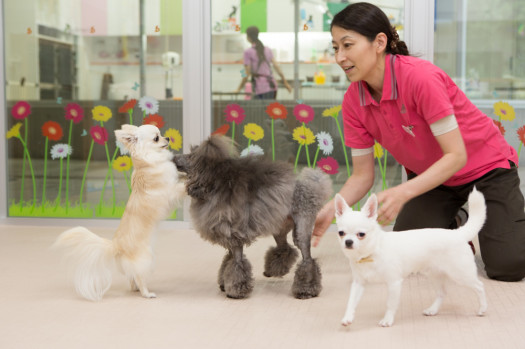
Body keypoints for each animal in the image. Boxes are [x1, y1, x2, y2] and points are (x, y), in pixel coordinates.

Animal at [175, 135, 332, 298]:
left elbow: (237, 264)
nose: (174, 158)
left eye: (191, 156)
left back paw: (306, 289)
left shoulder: (235, 237)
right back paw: (273, 271)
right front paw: (225, 283)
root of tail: (312, 188)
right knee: (284, 248)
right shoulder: (230, 238)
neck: (212, 185)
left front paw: (237, 290)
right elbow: (228, 261)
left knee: (307, 259)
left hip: (301, 228)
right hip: (279, 228)